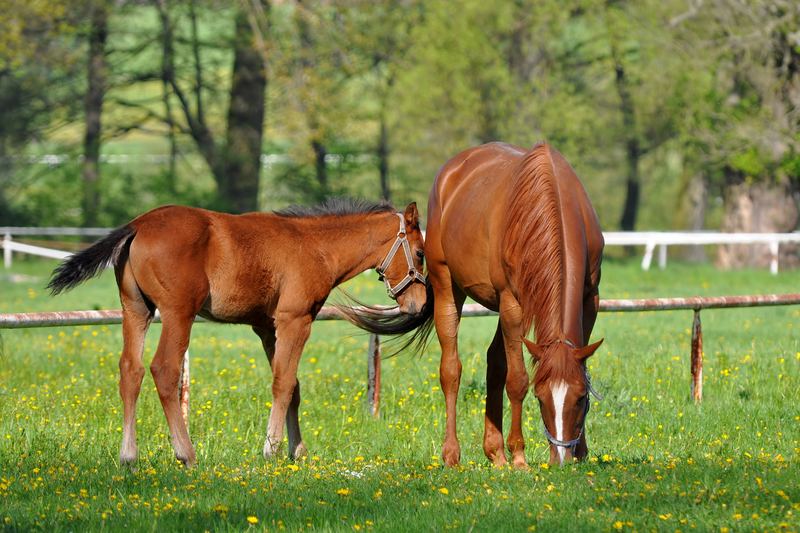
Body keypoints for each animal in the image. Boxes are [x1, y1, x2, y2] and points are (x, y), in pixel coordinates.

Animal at [48, 198, 428, 467]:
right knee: (164, 370)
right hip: (177, 314)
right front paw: (272, 448)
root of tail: (138, 225)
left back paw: (129, 456)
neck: (315, 245)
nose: (419, 304)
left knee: (131, 370)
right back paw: (186, 453)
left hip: (136, 311)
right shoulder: (295, 320)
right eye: (420, 252)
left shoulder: (266, 327)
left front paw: (298, 450)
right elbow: (284, 383)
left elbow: (293, 387)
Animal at [422, 142, 604, 467]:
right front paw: (520, 456)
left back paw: (495, 453)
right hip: (447, 285)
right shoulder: (512, 303)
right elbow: (517, 380)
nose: (561, 459)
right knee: (451, 370)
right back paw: (452, 454)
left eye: (581, 397)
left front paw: (582, 452)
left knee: (494, 363)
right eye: (540, 397)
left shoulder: (590, 299)